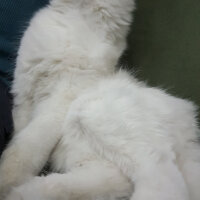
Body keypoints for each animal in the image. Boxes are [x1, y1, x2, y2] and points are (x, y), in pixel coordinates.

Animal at [0, 0, 200, 200]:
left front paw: (5, 180)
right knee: (112, 180)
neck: (79, 16)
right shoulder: (23, 92)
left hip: (94, 112)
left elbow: (25, 150)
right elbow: (17, 141)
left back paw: (21, 192)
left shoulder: (60, 98)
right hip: (88, 153)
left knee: (163, 178)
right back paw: (28, 191)